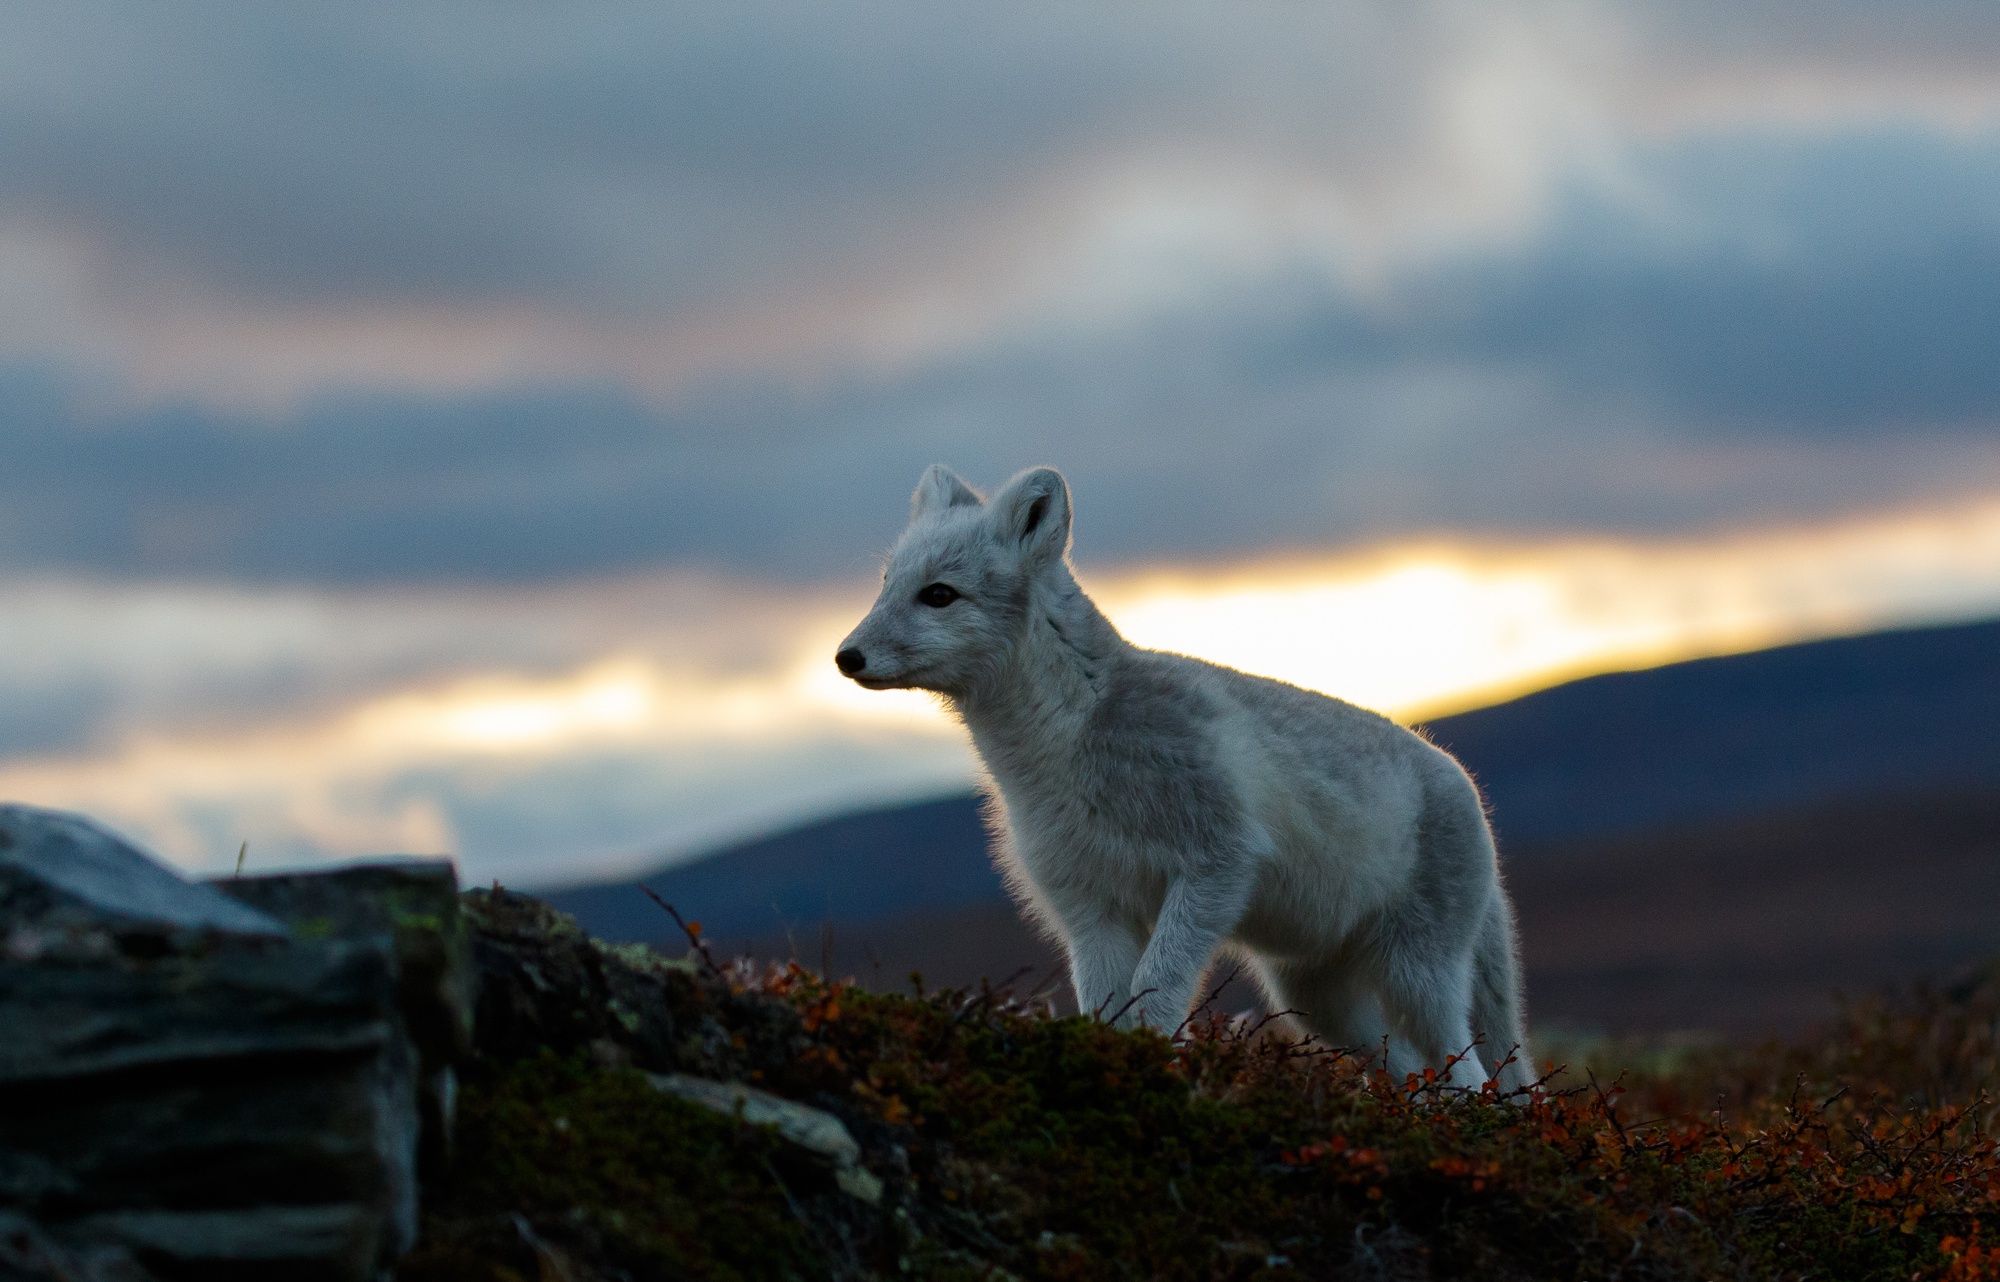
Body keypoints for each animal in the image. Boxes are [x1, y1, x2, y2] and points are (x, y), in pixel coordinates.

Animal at [836, 464, 1520, 1088]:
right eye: (887, 586)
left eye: (939, 594)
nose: (845, 657)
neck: (1062, 749)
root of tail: (1465, 784)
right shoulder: (1089, 905)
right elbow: (1107, 1005)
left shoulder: (1214, 864)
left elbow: (1157, 989)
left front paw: (1151, 1062)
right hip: (1315, 1000)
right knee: (1411, 1073)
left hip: (1415, 977)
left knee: (1467, 1072)